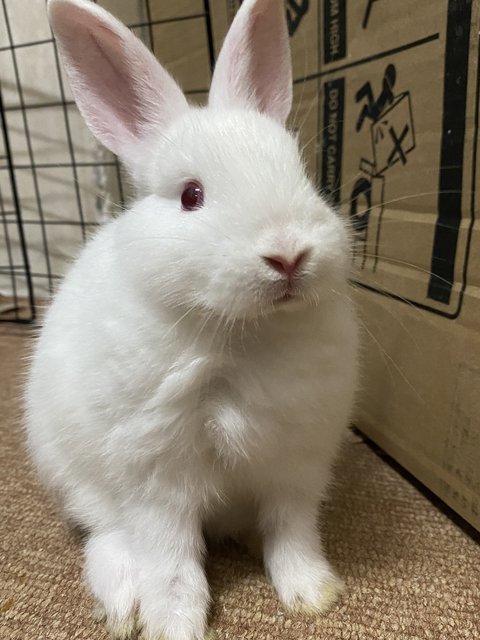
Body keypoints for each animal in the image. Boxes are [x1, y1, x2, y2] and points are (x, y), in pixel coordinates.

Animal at [24, 1, 358, 640]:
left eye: (302, 175)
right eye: (191, 196)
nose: (288, 255)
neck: (243, 334)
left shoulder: (297, 461)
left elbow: (293, 532)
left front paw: (313, 595)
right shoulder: (157, 472)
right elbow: (170, 556)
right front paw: (173, 623)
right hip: (74, 473)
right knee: (107, 534)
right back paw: (123, 604)